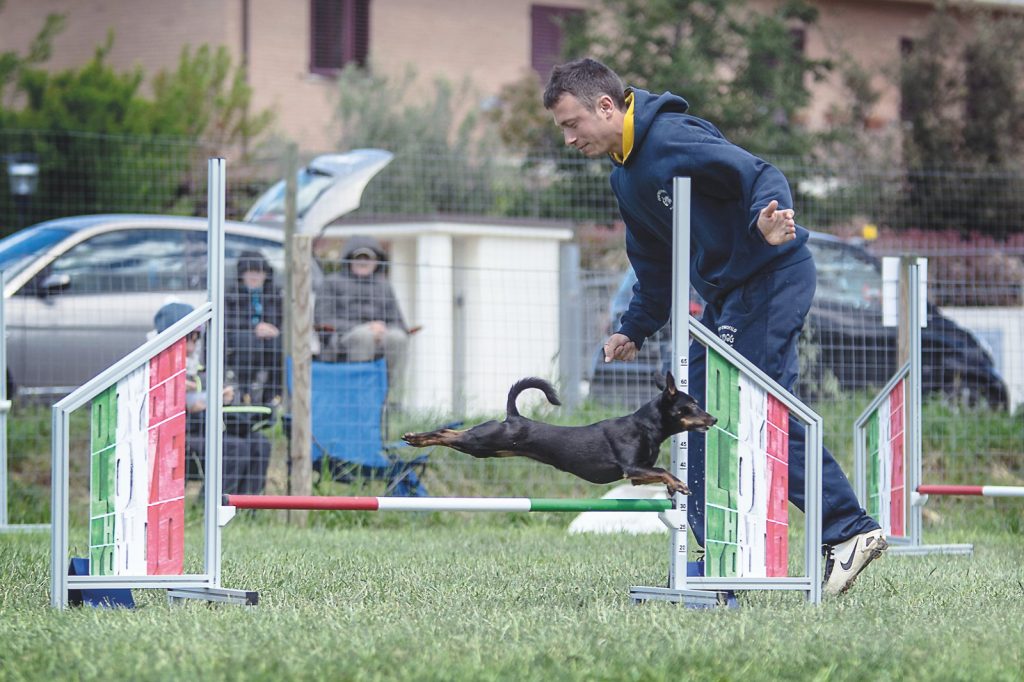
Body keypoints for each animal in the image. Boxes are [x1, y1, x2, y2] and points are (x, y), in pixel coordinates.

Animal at [403, 372, 716, 493]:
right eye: (691, 406)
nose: (713, 419)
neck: (645, 426)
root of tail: (514, 416)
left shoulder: (638, 476)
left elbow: (660, 472)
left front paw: (673, 486)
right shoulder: (632, 468)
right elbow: (663, 470)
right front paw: (679, 484)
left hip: (488, 447)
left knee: (455, 433)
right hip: (483, 441)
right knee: (448, 433)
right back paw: (415, 438)